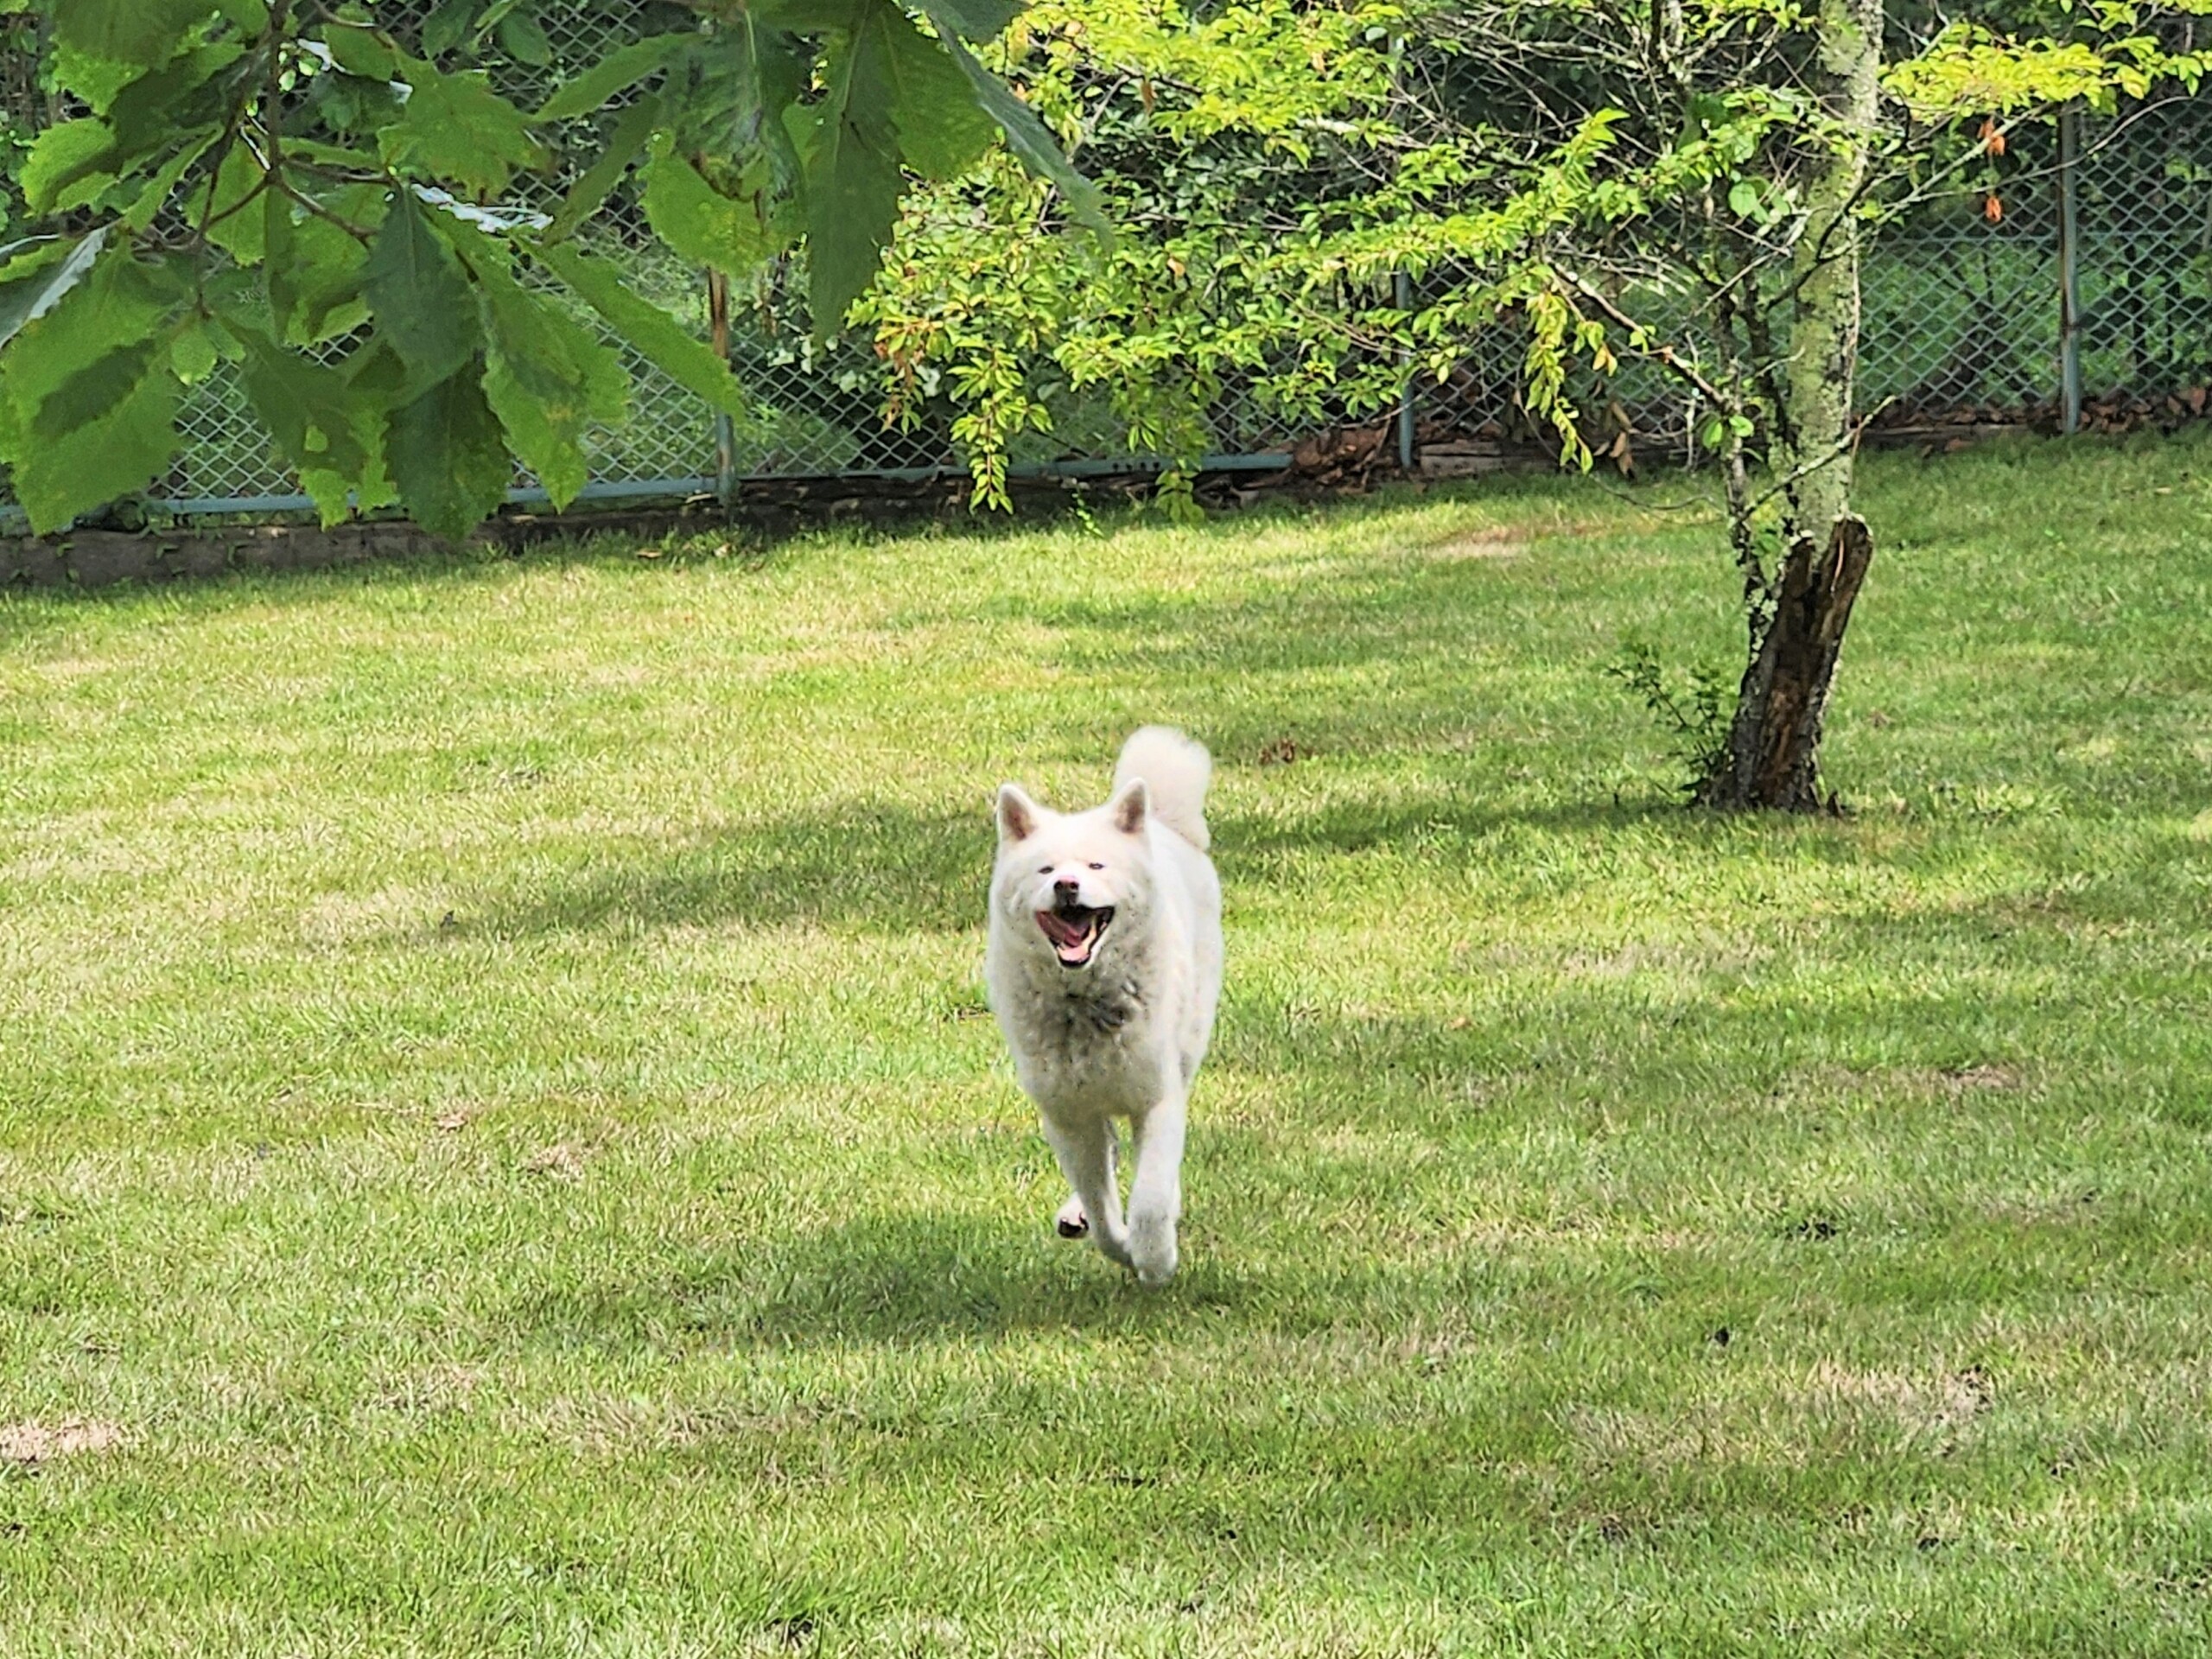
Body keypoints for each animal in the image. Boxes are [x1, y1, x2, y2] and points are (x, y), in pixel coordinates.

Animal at [990, 725, 1230, 1282]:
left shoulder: (1157, 1099)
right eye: (1045, 868)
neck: (1083, 1001)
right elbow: (1101, 1207)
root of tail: (1165, 823)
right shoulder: (1068, 1115)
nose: (1067, 884)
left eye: (1097, 864)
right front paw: (1119, 1245)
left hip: (1186, 1048)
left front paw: (1155, 1259)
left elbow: (1152, 1198)